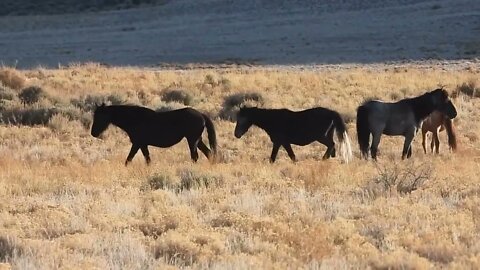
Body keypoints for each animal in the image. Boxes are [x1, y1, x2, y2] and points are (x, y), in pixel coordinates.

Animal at [90, 104, 218, 165]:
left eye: (100, 116)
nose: (93, 133)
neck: (134, 119)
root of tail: (201, 115)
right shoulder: (142, 145)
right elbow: (146, 159)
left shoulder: (138, 144)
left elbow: (130, 159)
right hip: (197, 140)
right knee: (208, 153)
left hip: (192, 140)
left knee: (195, 156)